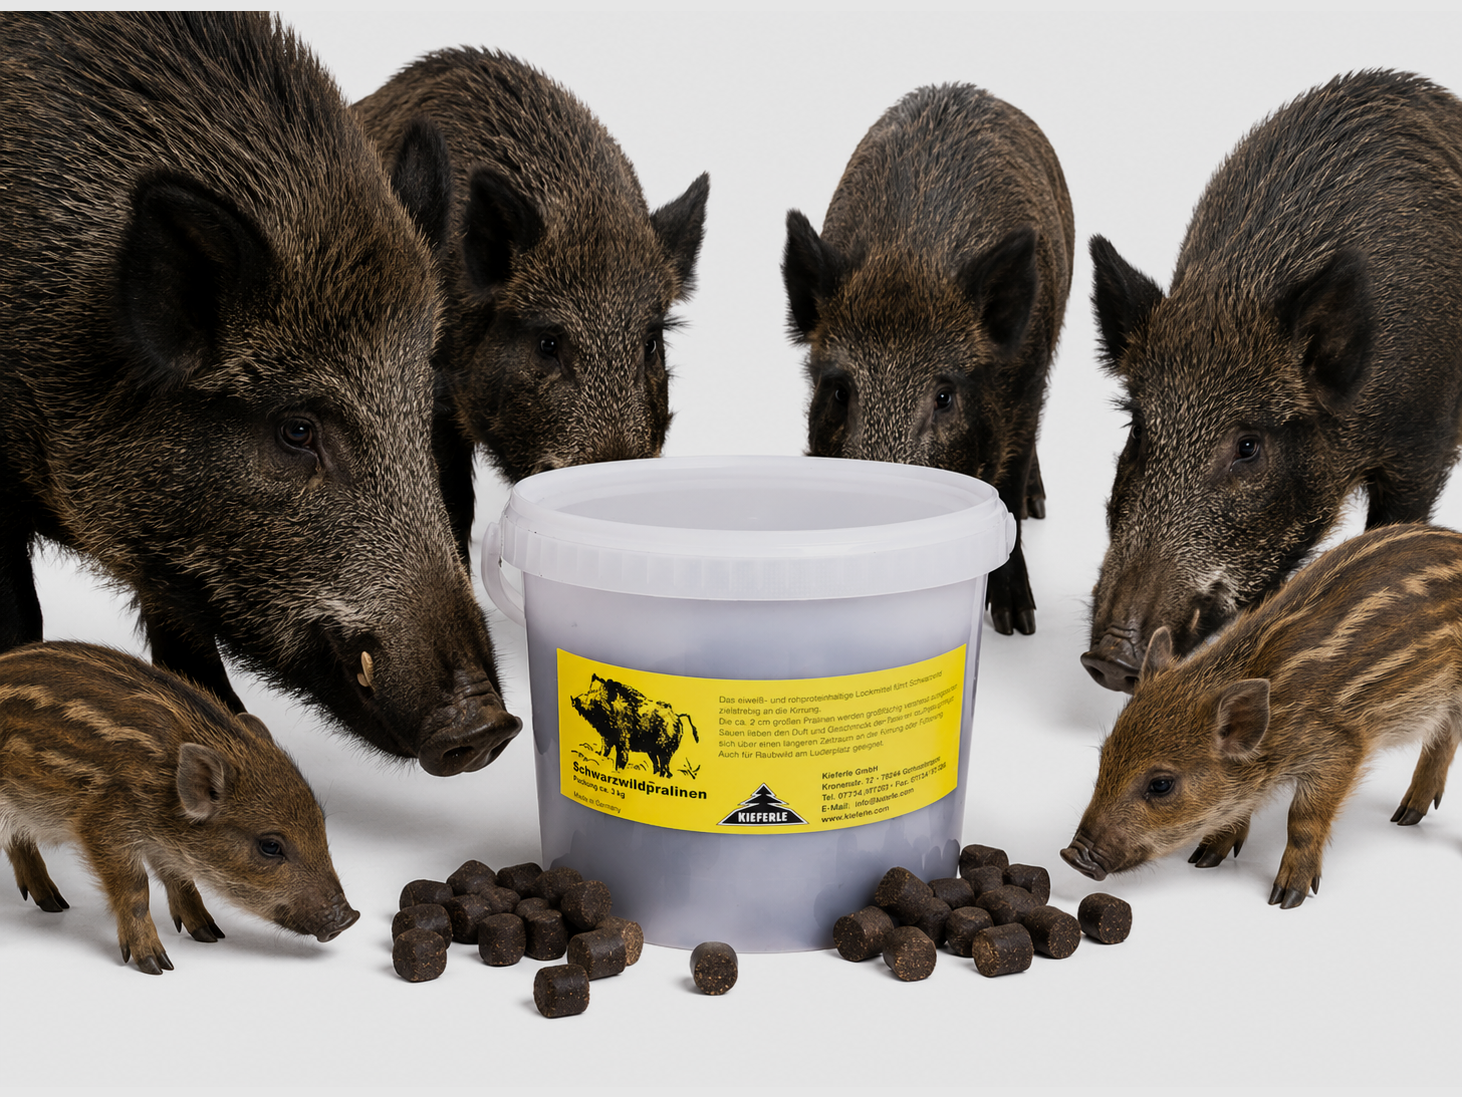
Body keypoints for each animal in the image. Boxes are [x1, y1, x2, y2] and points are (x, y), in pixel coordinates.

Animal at [0, 642, 358, 973]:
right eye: (270, 846)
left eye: (320, 824)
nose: (348, 918)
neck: (162, 791)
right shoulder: (103, 826)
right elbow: (136, 888)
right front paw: (155, 964)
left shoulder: (164, 845)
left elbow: (180, 878)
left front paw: (209, 933)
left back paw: (54, 903)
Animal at [782, 83, 1074, 635]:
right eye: (839, 390)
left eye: (944, 396)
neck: (910, 263)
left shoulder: (1025, 388)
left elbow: (1006, 490)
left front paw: (1017, 624)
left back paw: (1039, 505)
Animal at [1063, 523, 1462, 908]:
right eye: (1104, 758)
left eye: (1161, 784)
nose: (1071, 856)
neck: (1278, 724)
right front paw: (1205, 858)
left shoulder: (1341, 749)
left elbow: (1302, 819)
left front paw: (1287, 898)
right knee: (1444, 736)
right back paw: (1406, 817)